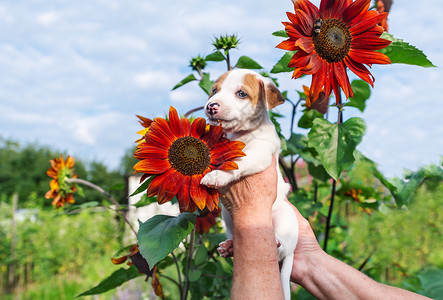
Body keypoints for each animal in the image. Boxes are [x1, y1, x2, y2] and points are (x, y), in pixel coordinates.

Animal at [202, 68, 300, 300]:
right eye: (214, 90)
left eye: (241, 94)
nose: (211, 106)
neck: (239, 134)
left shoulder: (260, 152)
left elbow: (237, 162)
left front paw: (217, 175)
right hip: (229, 223)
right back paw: (229, 247)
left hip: (284, 219)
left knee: (280, 250)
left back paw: (276, 243)